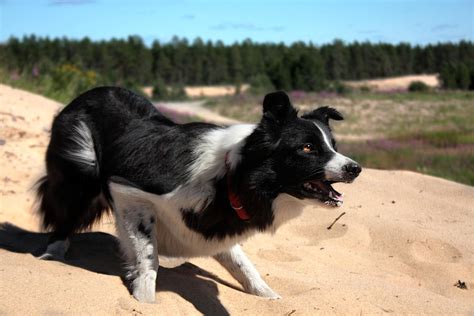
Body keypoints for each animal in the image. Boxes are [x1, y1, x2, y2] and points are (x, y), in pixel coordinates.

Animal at [36, 87, 362, 302]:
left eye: (333, 146)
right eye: (307, 148)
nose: (355, 168)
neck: (232, 177)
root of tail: (89, 93)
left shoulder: (215, 228)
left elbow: (245, 266)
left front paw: (269, 298)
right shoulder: (128, 192)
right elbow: (148, 258)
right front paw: (145, 300)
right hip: (82, 169)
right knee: (64, 214)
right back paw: (54, 253)